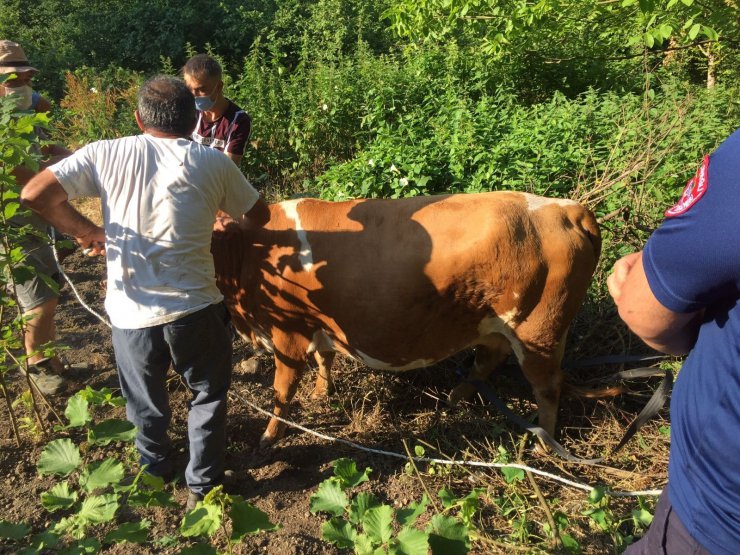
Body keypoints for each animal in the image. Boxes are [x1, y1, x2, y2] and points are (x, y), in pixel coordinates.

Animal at [212, 191, 600, 448]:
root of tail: (567, 209)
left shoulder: (287, 330)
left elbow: (283, 388)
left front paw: (270, 434)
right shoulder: (318, 322)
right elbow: (325, 357)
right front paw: (323, 392)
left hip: (539, 331)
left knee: (547, 386)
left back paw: (545, 444)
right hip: (498, 324)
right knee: (489, 358)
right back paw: (455, 397)